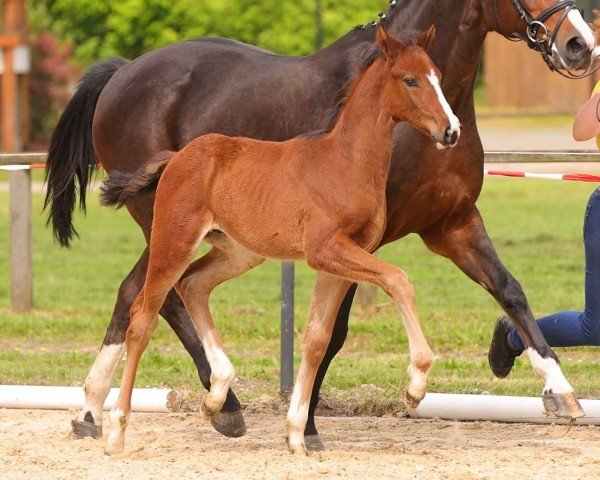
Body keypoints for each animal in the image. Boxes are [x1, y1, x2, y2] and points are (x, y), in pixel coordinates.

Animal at [102, 26, 460, 454]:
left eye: (439, 76)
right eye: (410, 80)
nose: (451, 130)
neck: (346, 163)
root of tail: (175, 157)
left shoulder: (340, 260)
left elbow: (317, 339)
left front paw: (295, 435)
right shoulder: (326, 249)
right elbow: (398, 280)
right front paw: (415, 386)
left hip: (238, 252)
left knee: (193, 285)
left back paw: (216, 397)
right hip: (173, 242)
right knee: (142, 318)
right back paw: (116, 430)